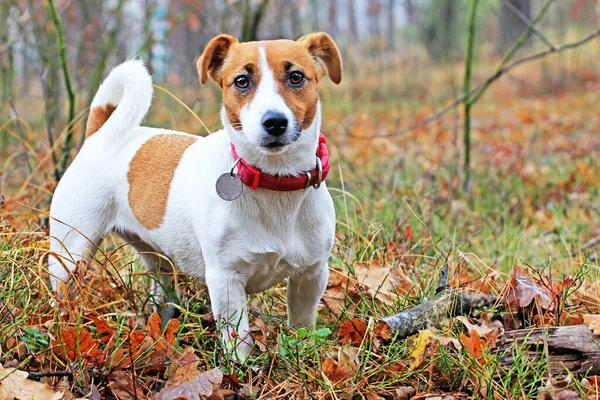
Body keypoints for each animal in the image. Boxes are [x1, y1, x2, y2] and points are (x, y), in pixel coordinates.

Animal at [49, 32, 342, 358]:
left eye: (296, 76)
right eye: (241, 81)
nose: (274, 121)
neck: (274, 184)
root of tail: (98, 134)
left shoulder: (311, 275)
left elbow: (302, 327)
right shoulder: (226, 280)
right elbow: (238, 340)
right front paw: (242, 370)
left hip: (156, 258)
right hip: (71, 253)